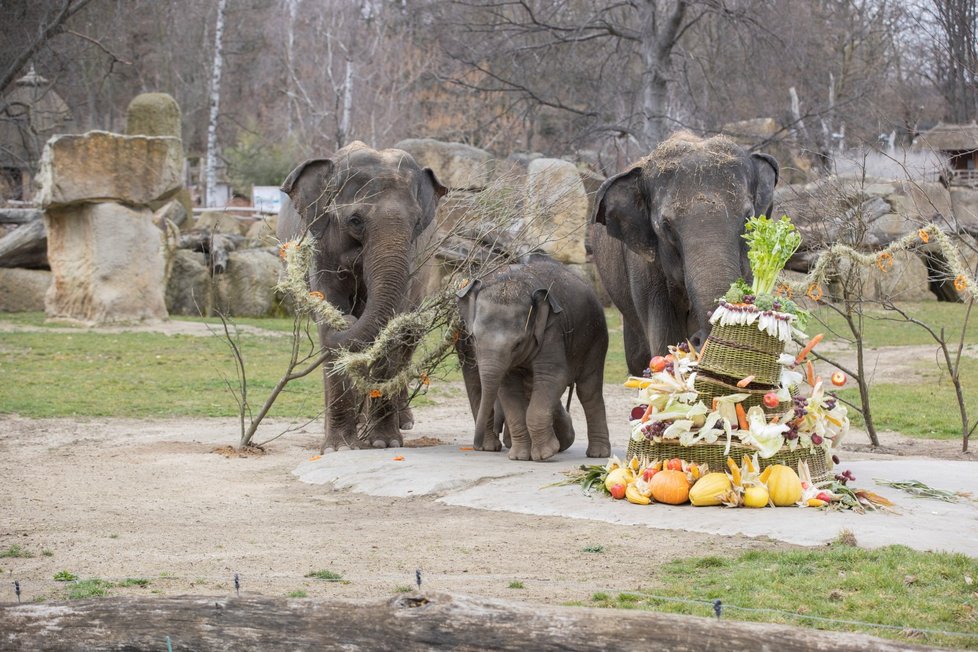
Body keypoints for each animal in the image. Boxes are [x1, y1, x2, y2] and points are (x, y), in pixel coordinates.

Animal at [278, 140, 446, 450]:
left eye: (417, 221)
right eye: (354, 220)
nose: (347, 319)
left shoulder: (413, 259)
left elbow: (391, 327)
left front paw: (385, 444)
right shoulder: (320, 243)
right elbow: (329, 311)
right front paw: (340, 447)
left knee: (409, 337)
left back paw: (399, 423)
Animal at [454, 258, 608, 460]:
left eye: (517, 344)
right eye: (474, 338)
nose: (475, 446)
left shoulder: (551, 330)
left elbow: (553, 377)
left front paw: (545, 454)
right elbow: (508, 387)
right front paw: (519, 456)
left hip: (595, 338)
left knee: (588, 390)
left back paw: (597, 454)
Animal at [588, 132, 776, 374]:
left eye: (747, 219)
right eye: (666, 226)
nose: (696, 340)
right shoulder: (645, 272)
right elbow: (663, 338)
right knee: (637, 356)